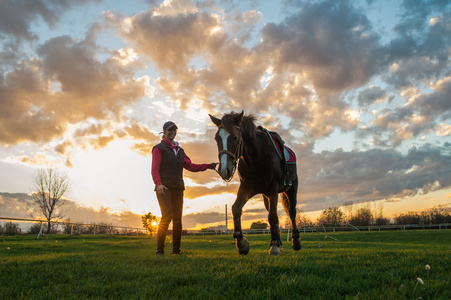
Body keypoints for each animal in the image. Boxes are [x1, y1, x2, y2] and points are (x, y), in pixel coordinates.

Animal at [210, 111, 302, 254]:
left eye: (235, 138)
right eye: (217, 138)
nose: (224, 170)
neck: (256, 156)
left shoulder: (273, 188)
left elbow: (273, 216)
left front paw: (274, 246)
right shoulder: (247, 188)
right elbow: (236, 209)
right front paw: (242, 243)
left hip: (291, 189)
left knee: (291, 212)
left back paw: (295, 241)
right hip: (266, 196)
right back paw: (279, 242)